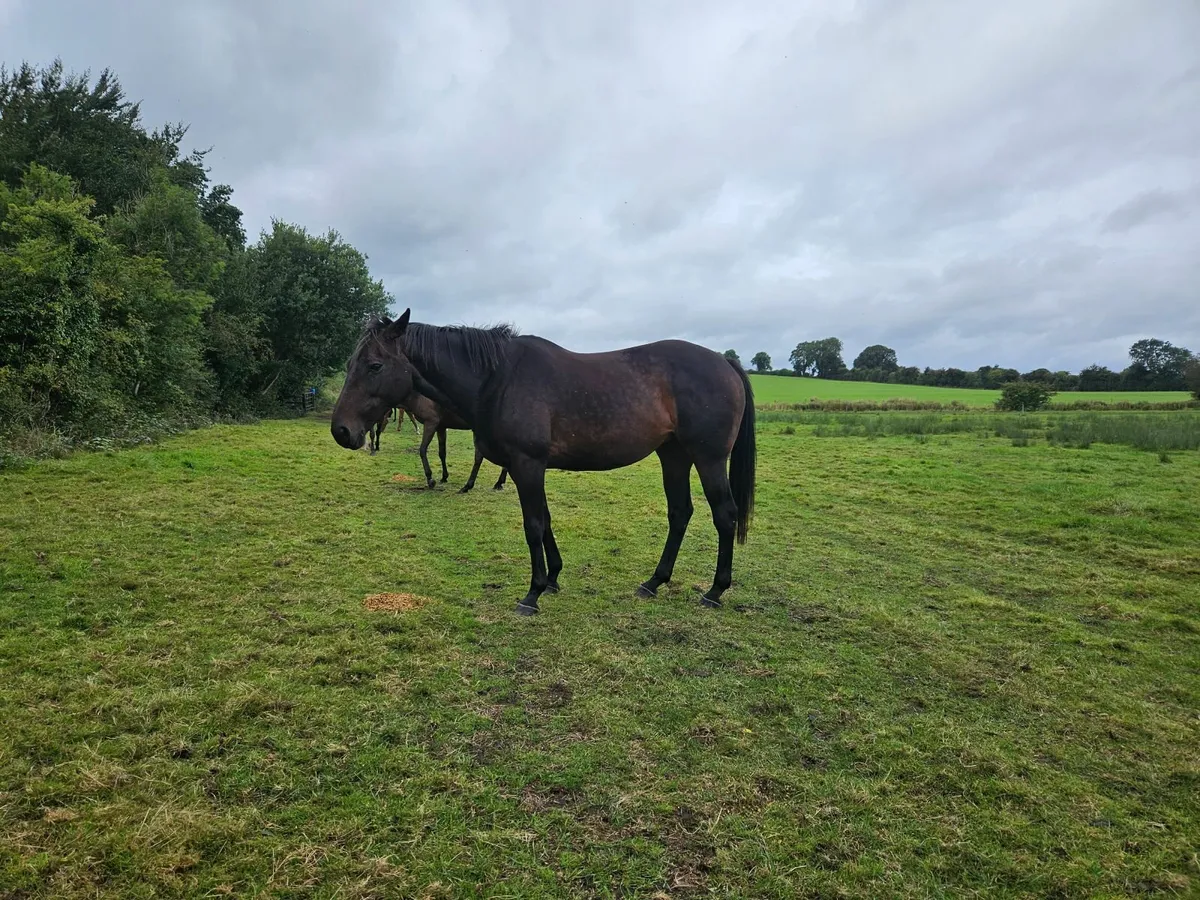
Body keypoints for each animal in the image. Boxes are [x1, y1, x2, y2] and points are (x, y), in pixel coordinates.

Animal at [330, 309, 756, 616]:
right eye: (351, 364)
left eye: (374, 365)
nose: (342, 431)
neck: (497, 378)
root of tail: (725, 362)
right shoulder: (531, 468)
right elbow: (547, 521)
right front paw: (552, 579)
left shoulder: (527, 465)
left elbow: (533, 525)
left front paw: (532, 594)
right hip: (674, 455)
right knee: (680, 512)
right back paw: (653, 582)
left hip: (708, 458)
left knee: (725, 514)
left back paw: (715, 591)